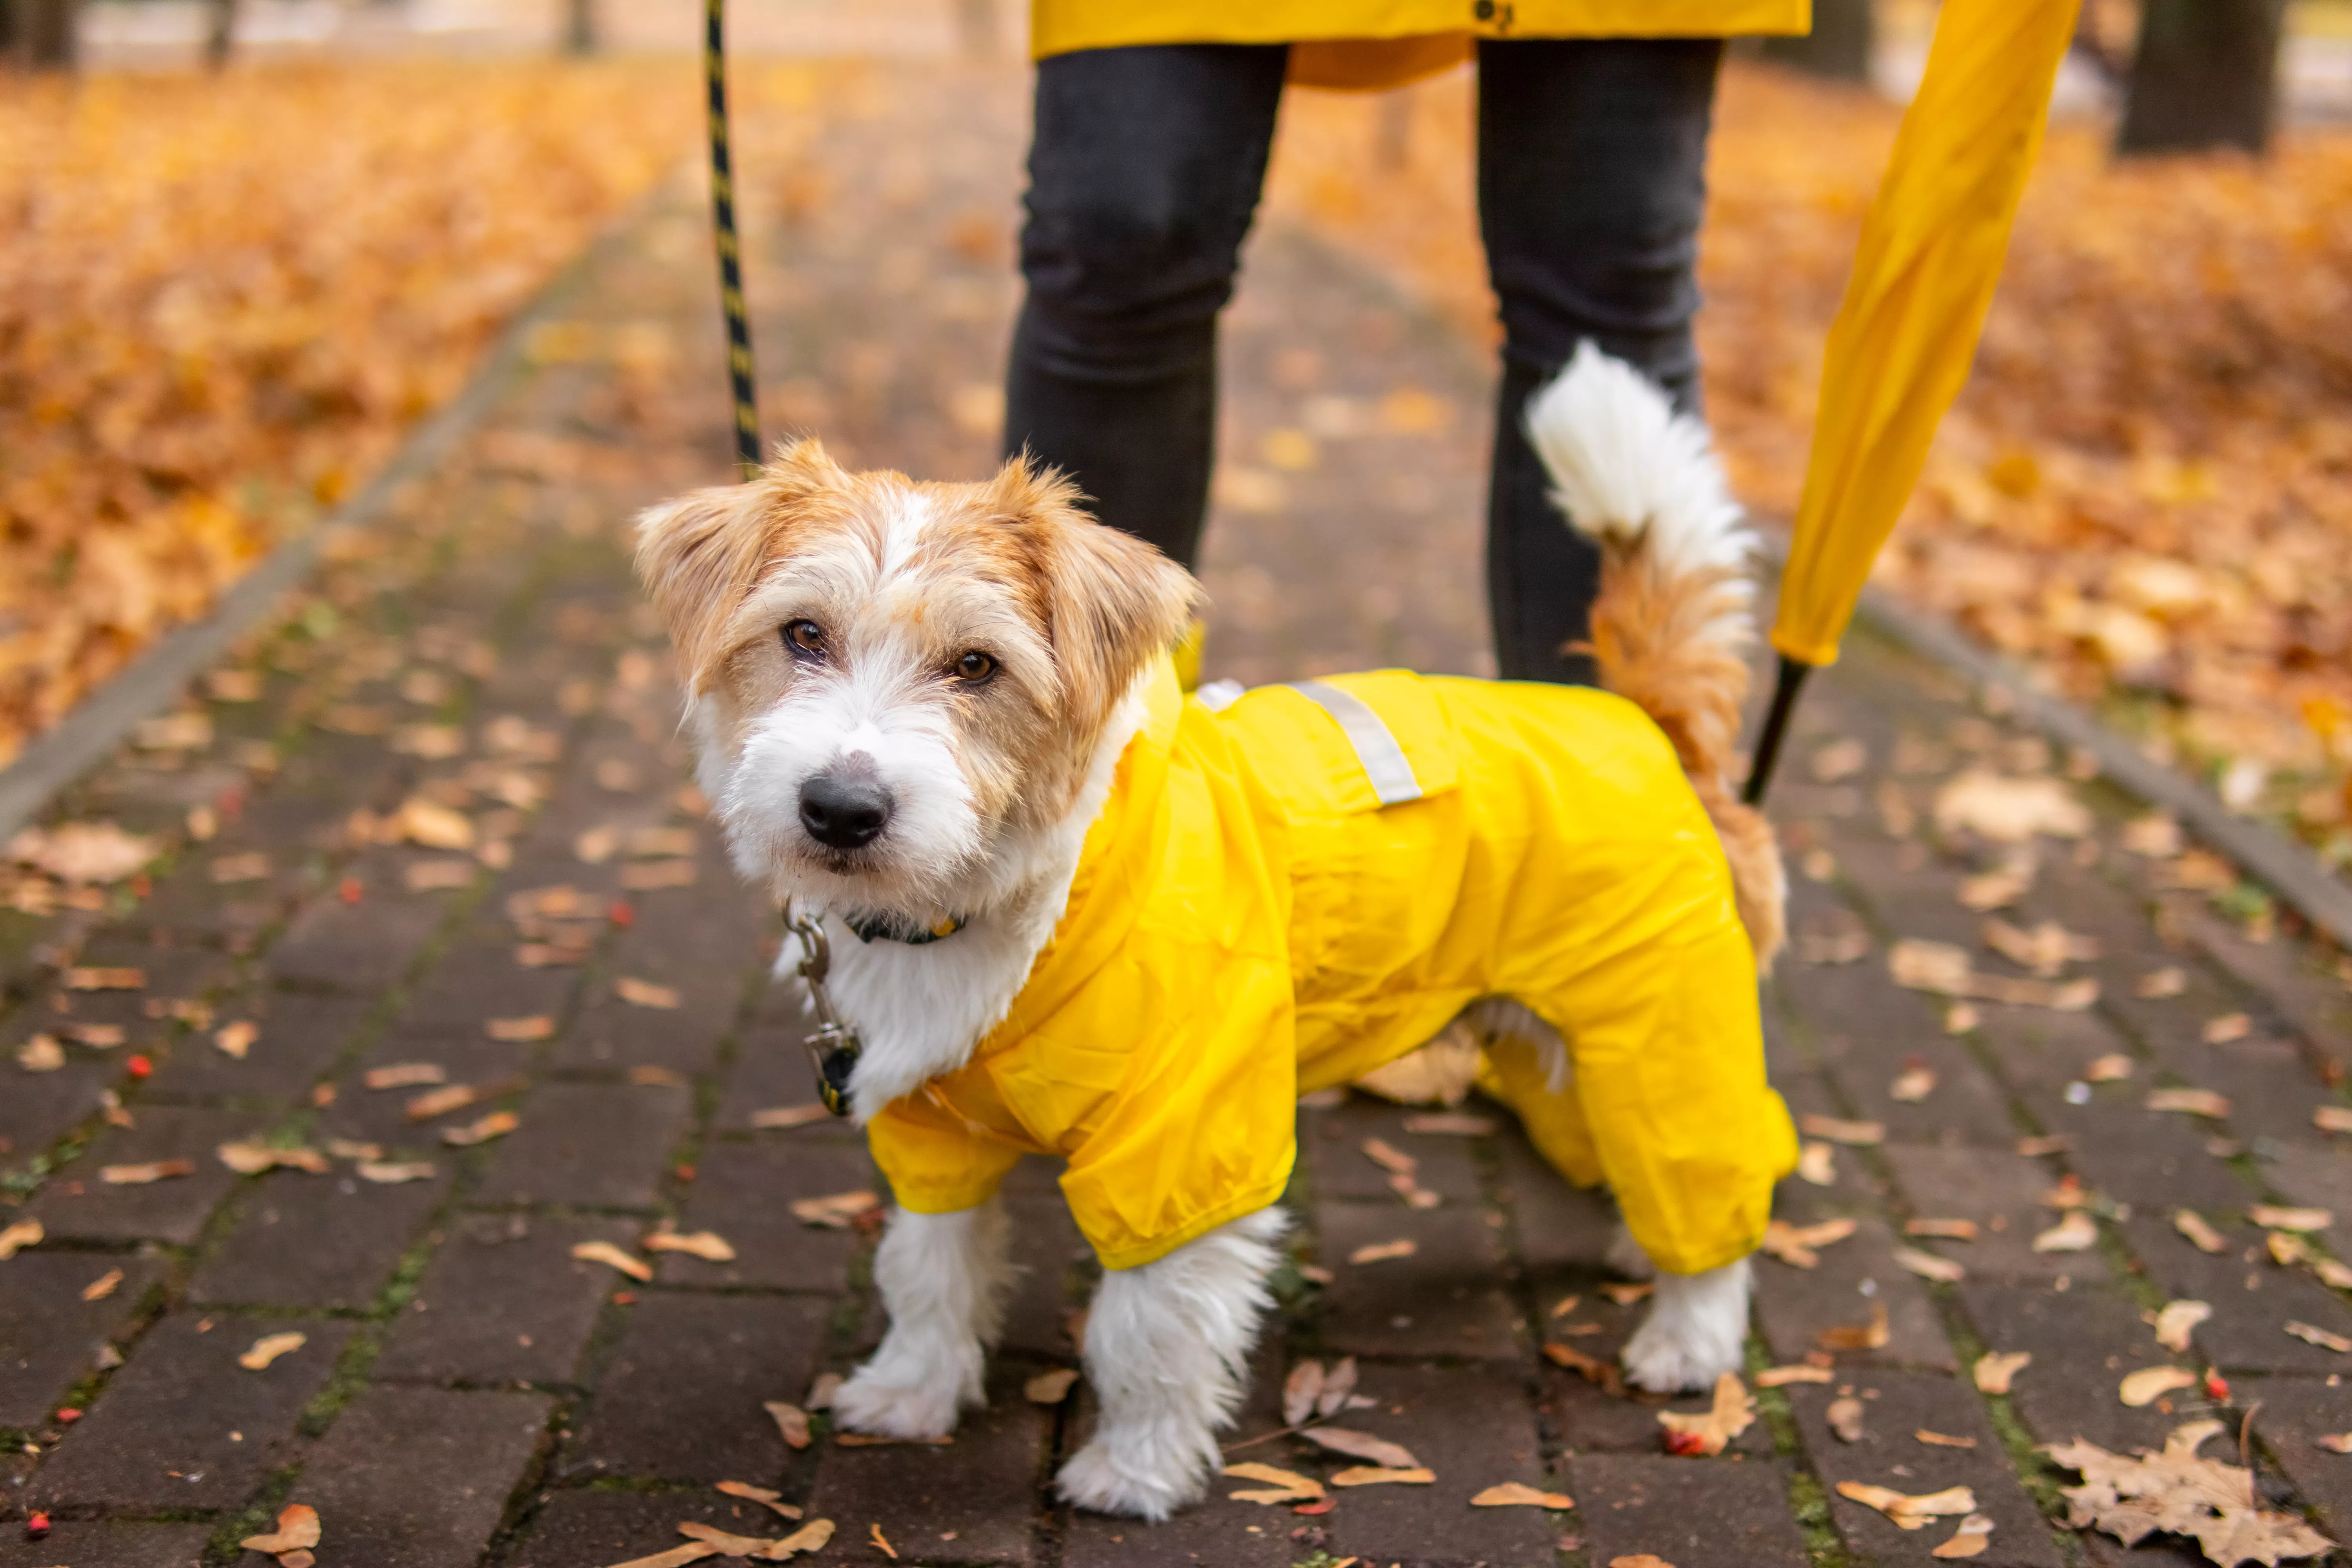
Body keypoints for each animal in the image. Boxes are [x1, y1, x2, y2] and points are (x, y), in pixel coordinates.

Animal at [635, 343, 1788, 1523]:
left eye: (977, 666)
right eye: (802, 635)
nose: (841, 810)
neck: (1006, 899)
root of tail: (1652, 726)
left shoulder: (1184, 1141)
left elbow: (1149, 1329)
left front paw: (1134, 1468)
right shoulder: (927, 1125)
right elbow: (928, 1267)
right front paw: (913, 1392)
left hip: (1663, 1029)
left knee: (1716, 1176)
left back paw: (1689, 1337)